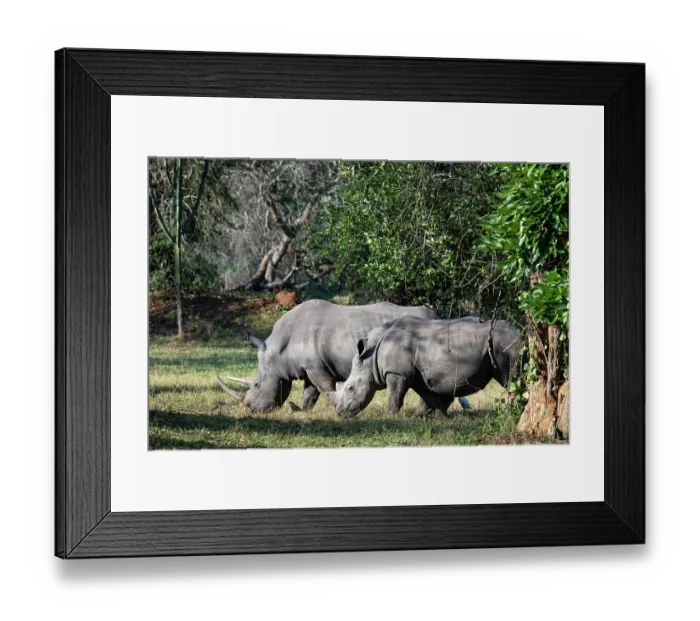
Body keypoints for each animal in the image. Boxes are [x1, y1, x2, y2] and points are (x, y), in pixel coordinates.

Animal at [216, 299, 438, 413]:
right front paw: (300, 410)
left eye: (256, 385)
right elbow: (310, 392)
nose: (252, 409)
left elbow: (323, 388)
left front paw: (336, 407)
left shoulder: (317, 368)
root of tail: (435, 315)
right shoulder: (309, 367)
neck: (278, 352)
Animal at [335, 316, 523, 418]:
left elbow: (395, 396)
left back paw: (514, 412)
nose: (339, 412)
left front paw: (389, 417)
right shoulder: (416, 374)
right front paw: (440, 417)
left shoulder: (397, 372)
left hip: (505, 343)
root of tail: (519, 331)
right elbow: (428, 396)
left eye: (350, 388)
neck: (370, 355)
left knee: (510, 379)